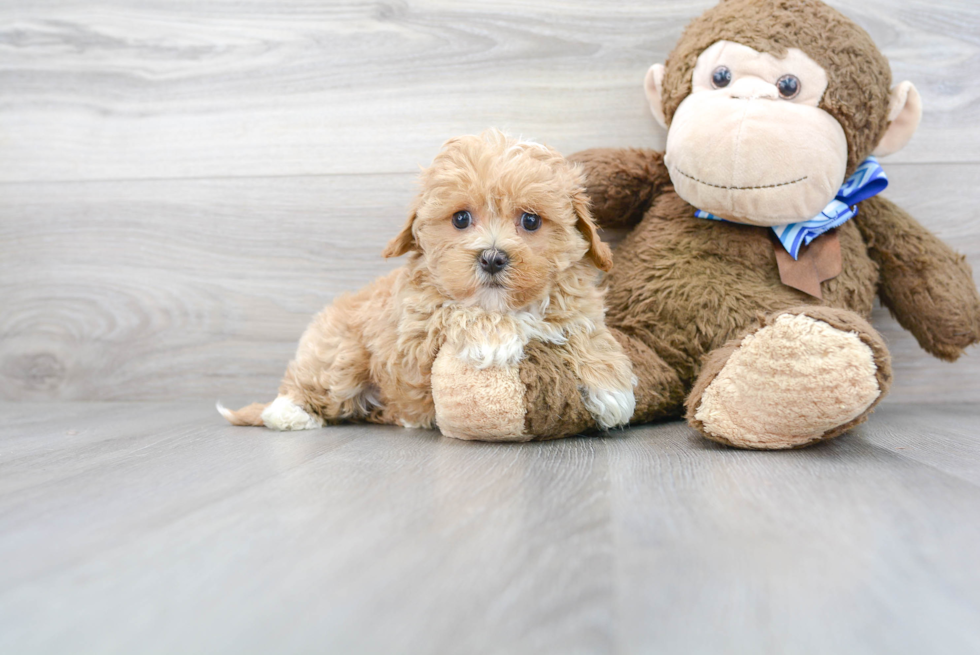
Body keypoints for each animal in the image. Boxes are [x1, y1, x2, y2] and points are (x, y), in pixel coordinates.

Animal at [219, 129, 636, 440]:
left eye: (531, 221)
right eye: (461, 218)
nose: (492, 258)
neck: (507, 305)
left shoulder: (577, 305)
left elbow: (586, 331)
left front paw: (611, 388)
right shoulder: (414, 332)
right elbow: (456, 310)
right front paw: (495, 337)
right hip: (340, 354)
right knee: (314, 385)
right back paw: (289, 413)